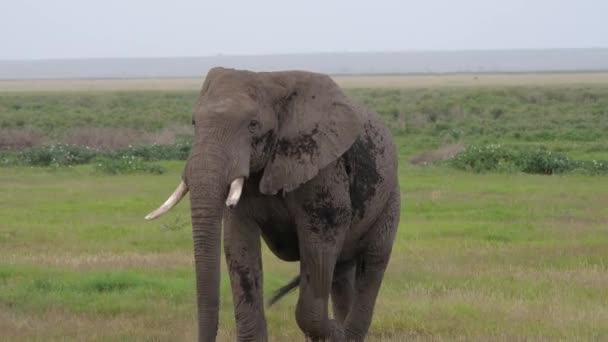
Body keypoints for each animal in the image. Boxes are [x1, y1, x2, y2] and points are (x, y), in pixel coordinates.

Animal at [145, 67, 402, 342]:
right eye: (194, 123)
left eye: (253, 125)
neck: (272, 81)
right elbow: (239, 245)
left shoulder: (322, 168)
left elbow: (321, 239)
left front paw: (334, 331)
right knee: (342, 271)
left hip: (390, 197)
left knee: (373, 261)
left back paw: (347, 331)